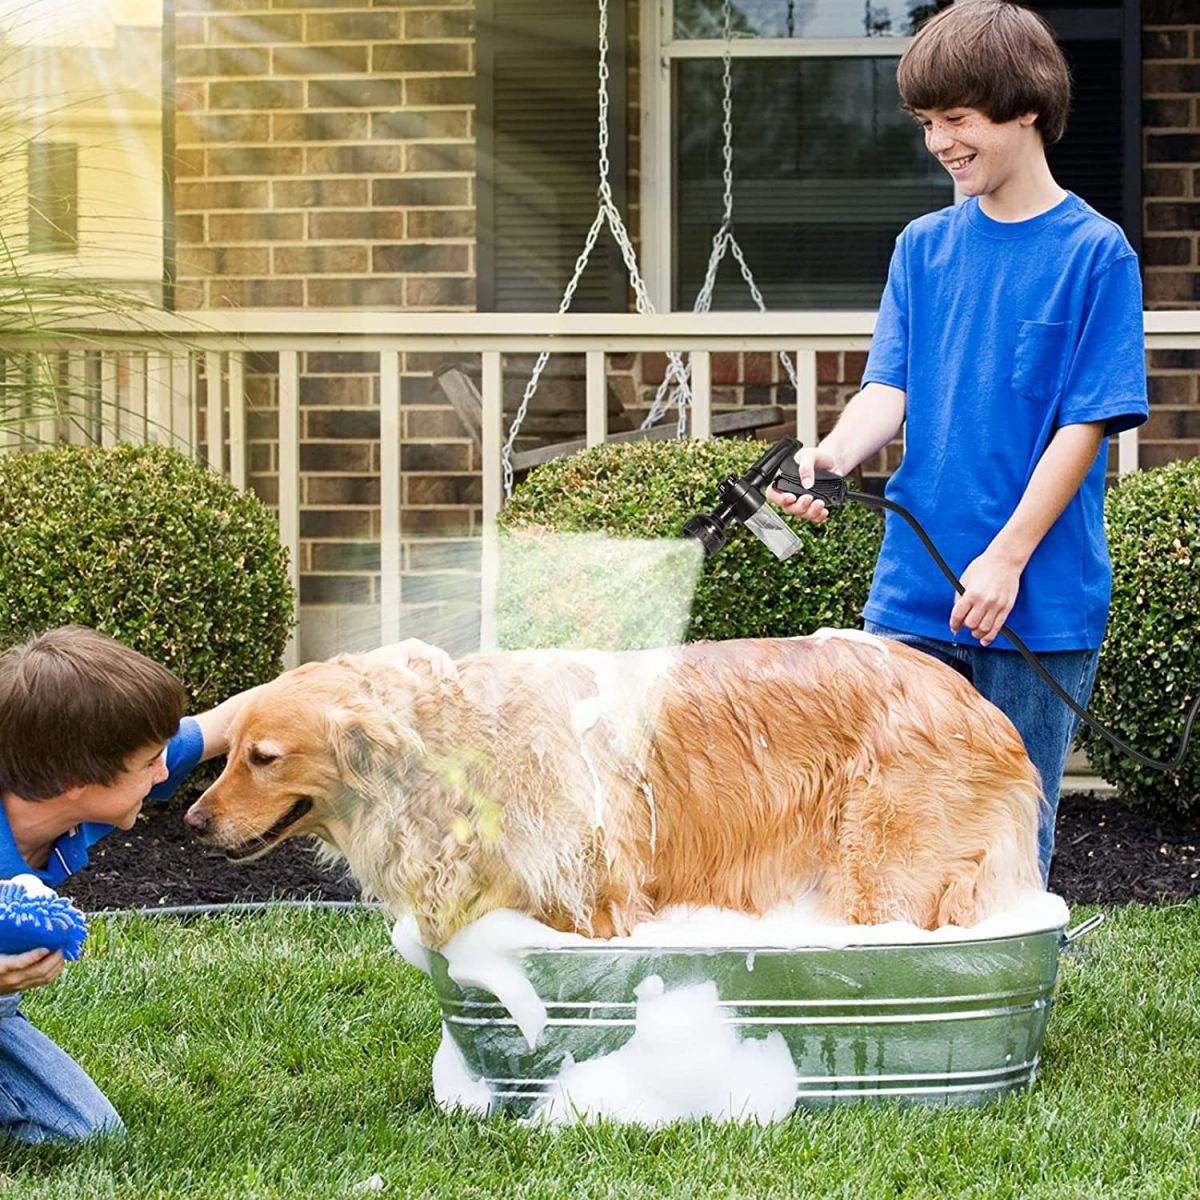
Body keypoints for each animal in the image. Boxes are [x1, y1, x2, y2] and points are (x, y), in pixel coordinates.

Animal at [184, 633, 1041, 950]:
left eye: (263, 758)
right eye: (228, 754)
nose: (191, 821)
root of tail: (975, 700)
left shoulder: (598, 904)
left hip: (884, 872)